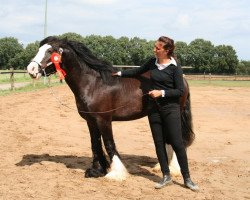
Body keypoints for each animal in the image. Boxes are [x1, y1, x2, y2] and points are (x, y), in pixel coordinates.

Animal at [27, 36, 195, 180]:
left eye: (50, 51)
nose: (31, 69)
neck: (93, 84)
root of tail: (182, 80)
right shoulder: (91, 120)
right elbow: (95, 143)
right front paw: (96, 170)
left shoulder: (103, 120)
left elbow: (109, 143)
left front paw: (115, 173)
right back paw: (161, 166)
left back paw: (174, 168)